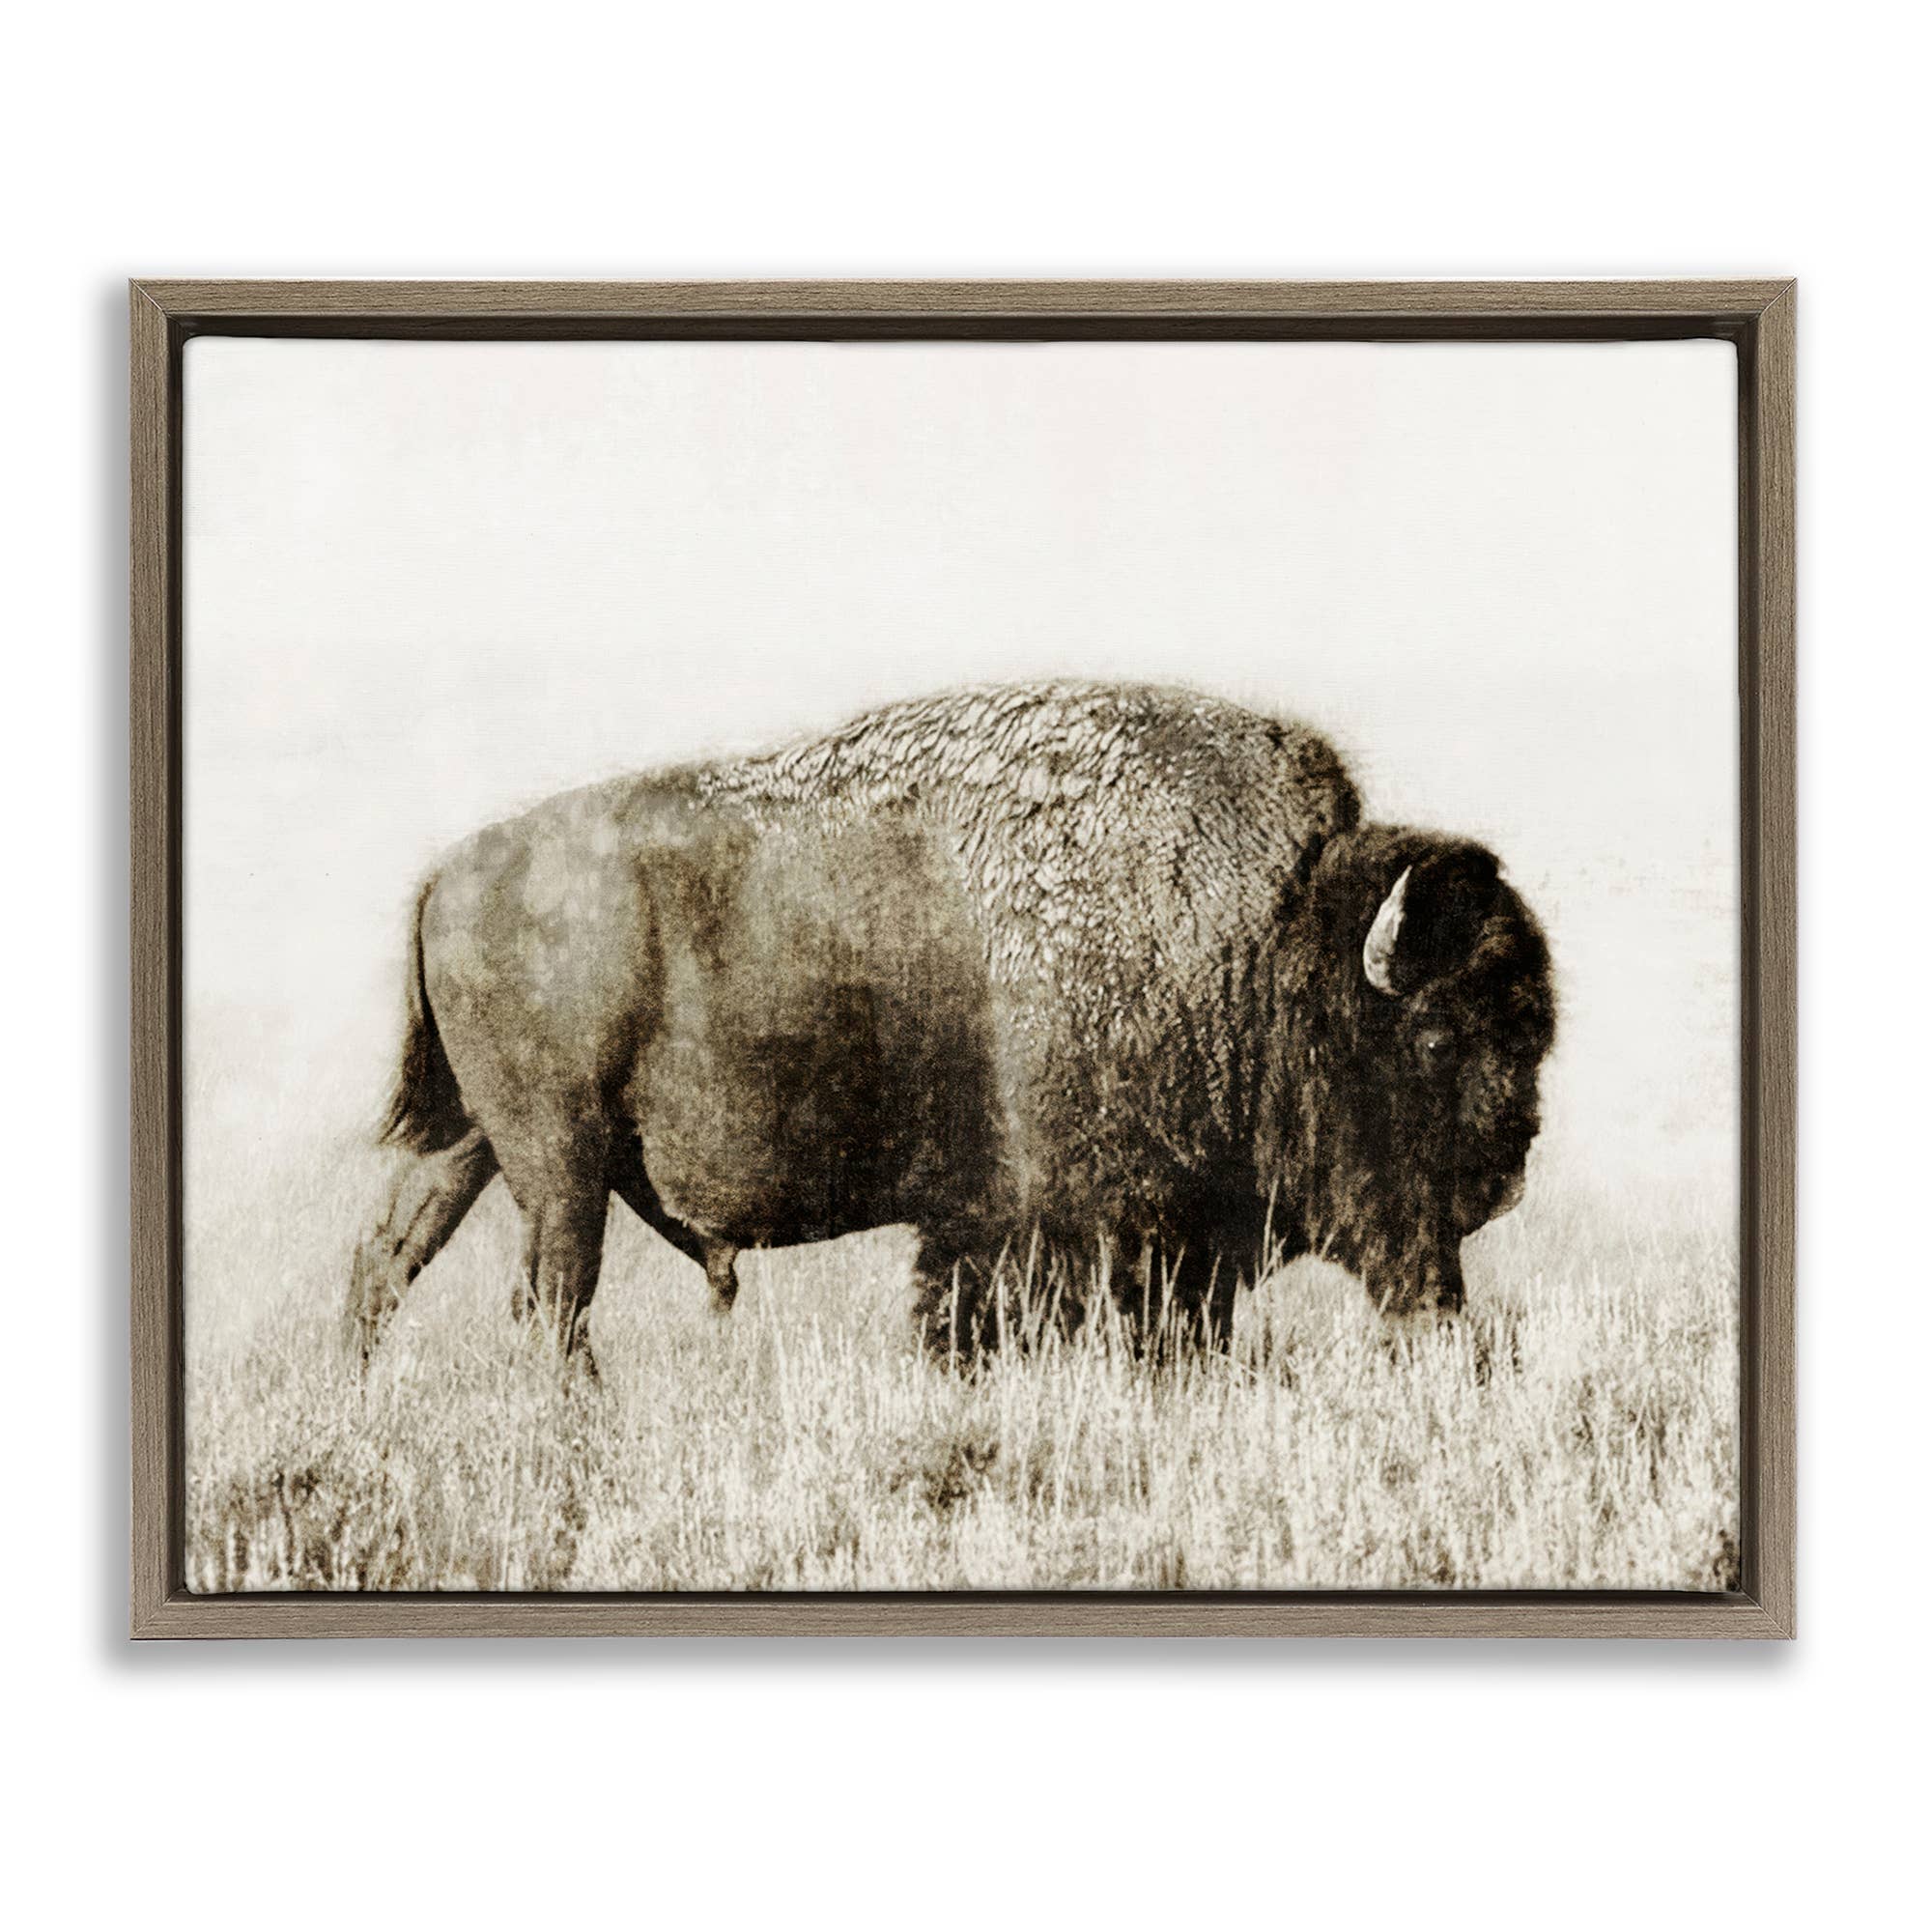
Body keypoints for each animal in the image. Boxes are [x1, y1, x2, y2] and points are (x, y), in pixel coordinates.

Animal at [348, 680, 1555, 1370]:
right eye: (1436, 1038)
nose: (1500, 1180)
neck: (1261, 937)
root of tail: (447, 873)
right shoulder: (1080, 1230)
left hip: (477, 1144)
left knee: (388, 1261)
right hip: (559, 1154)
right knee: (550, 1297)